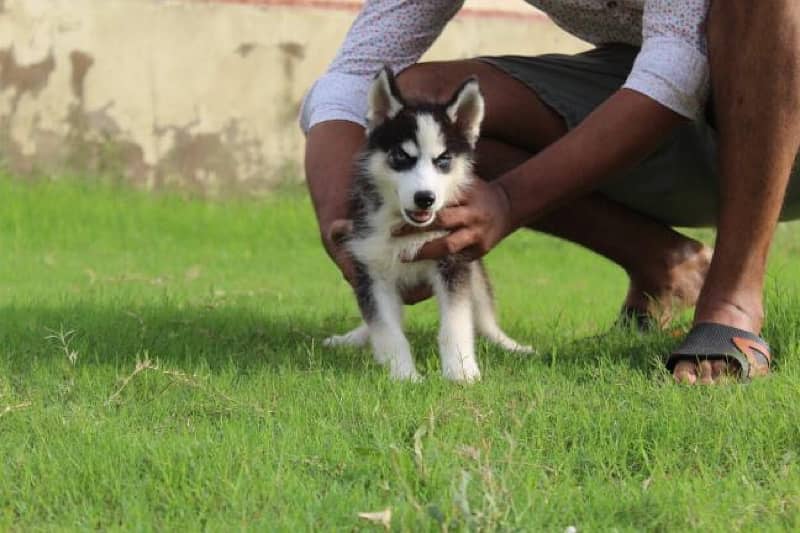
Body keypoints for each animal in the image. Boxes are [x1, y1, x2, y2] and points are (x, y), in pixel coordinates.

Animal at [324, 67, 532, 382]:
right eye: (401, 156)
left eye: (443, 159)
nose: (425, 198)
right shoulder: (370, 268)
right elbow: (386, 329)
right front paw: (404, 376)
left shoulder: (453, 259)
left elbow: (456, 323)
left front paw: (461, 372)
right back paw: (353, 339)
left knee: (483, 314)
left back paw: (509, 344)